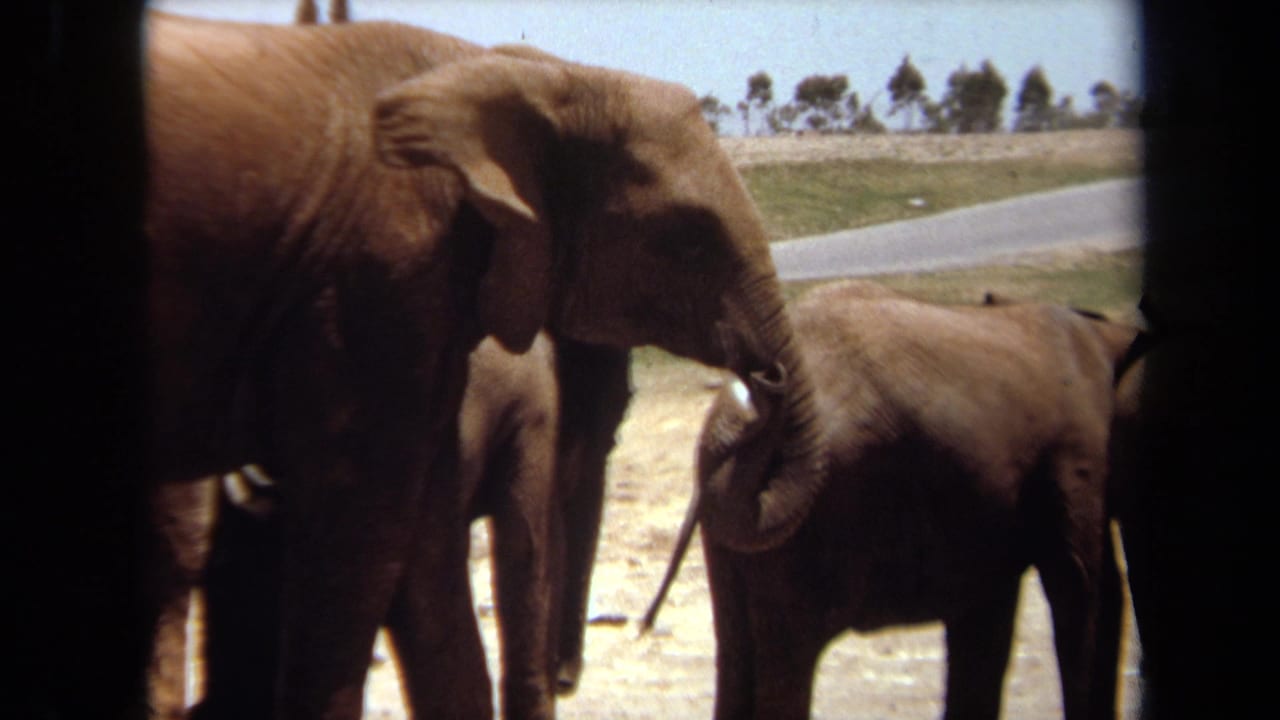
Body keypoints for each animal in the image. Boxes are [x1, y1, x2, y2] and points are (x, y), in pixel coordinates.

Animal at [144, 10, 818, 719]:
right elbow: (362, 541)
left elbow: (425, 559)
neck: (534, 73)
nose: (763, 381)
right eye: (689, 241)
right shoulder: (375, 280)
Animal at [642, 279, 1146, 720]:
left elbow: (988, 619)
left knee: (737, 655)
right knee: (787, 659)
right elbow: (1085, 587)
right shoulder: (1077, 458)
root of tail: (728, 425)